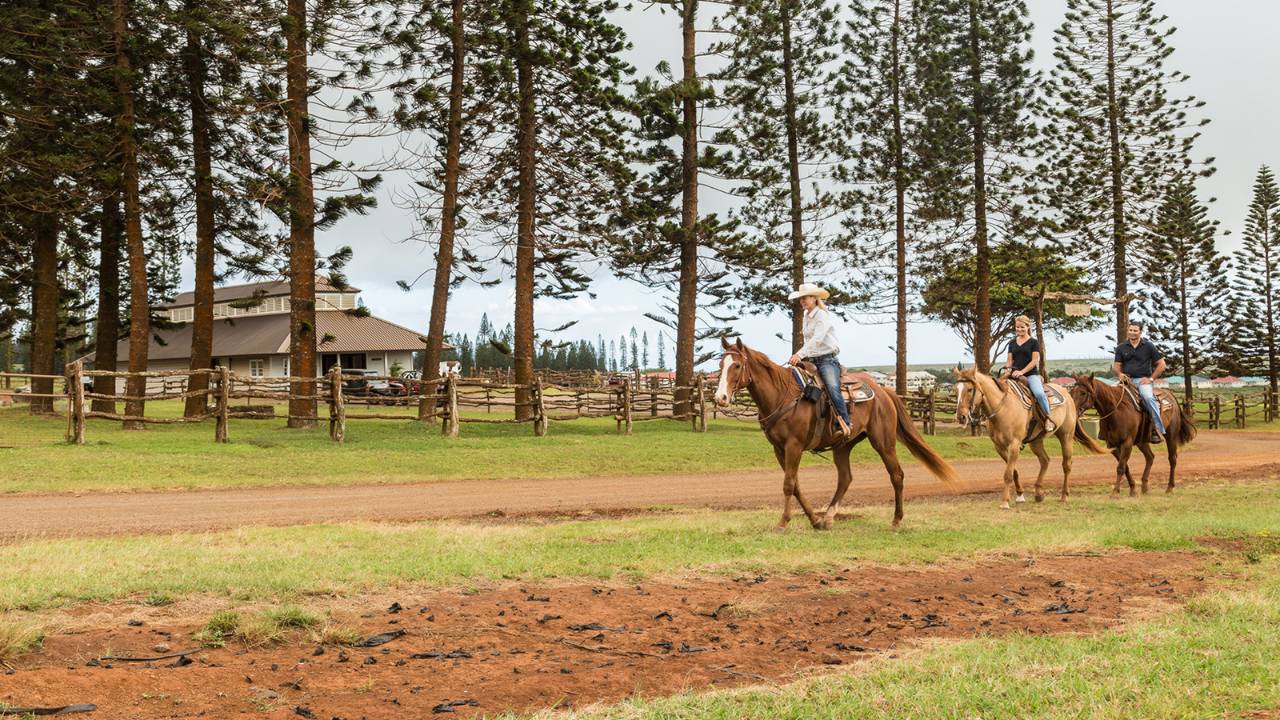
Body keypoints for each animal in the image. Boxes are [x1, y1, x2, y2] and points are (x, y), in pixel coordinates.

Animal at [711, 335, 962, 527]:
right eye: (721, 366)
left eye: (737, 365)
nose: (720, 398)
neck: (783, 394)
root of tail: (883, 392)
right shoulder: (779, 449)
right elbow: (796, 485)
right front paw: (814, 520)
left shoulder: (794, 446)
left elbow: (788, 484)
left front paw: (783, 522)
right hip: (843, 446)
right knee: (845, 478)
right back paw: (829, 516)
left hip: (883, 442)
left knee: (896, 475)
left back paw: (897, 519)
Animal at [957, 366, 1105, 507]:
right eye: (956, 389)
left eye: (970, 389)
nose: (961, 417)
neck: (1004, 407)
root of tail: (1068, 395)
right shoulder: (999, 447)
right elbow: (1014, 471)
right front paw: (1020, 495)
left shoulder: (1014, 444)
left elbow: (1008, 474)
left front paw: (1005, 502)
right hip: (1036, 441)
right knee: (1045, 460)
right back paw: (1039, 493)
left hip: (1066, 435)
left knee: (1066, 465)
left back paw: (1064, 496)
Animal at [1064, 371, 1192, 497]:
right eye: (1071, 391)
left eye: (1083, 393)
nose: (1072, 410)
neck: (1116, 410)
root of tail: (1171, 396)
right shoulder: (1112, 445)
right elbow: (1125, 467)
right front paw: (1133, 489)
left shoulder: (1127, 442)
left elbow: (1121, 467)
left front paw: (1115, 492)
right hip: (1142, 441)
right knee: (1150, 457)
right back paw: (1144, 487)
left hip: (1171, 436)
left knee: (1172, 459)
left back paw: (1170, 487)